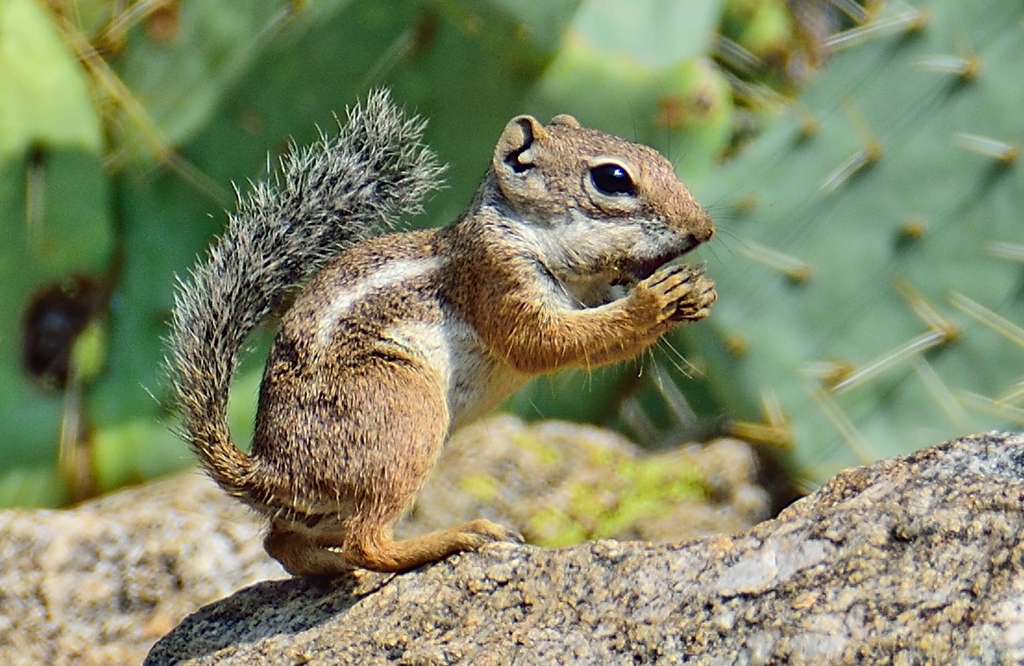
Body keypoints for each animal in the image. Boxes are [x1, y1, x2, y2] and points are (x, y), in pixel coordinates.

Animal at [167, 90, 716, 576]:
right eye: (612, 178)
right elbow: (544, 343)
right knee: (367, 543)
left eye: (659, 158)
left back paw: (331, 567)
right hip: (404, 411)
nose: (704, 228)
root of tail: (270, 471)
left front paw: (698, 291)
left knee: (281, 543)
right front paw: (654, 300)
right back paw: (458, 536)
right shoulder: (496, 277)